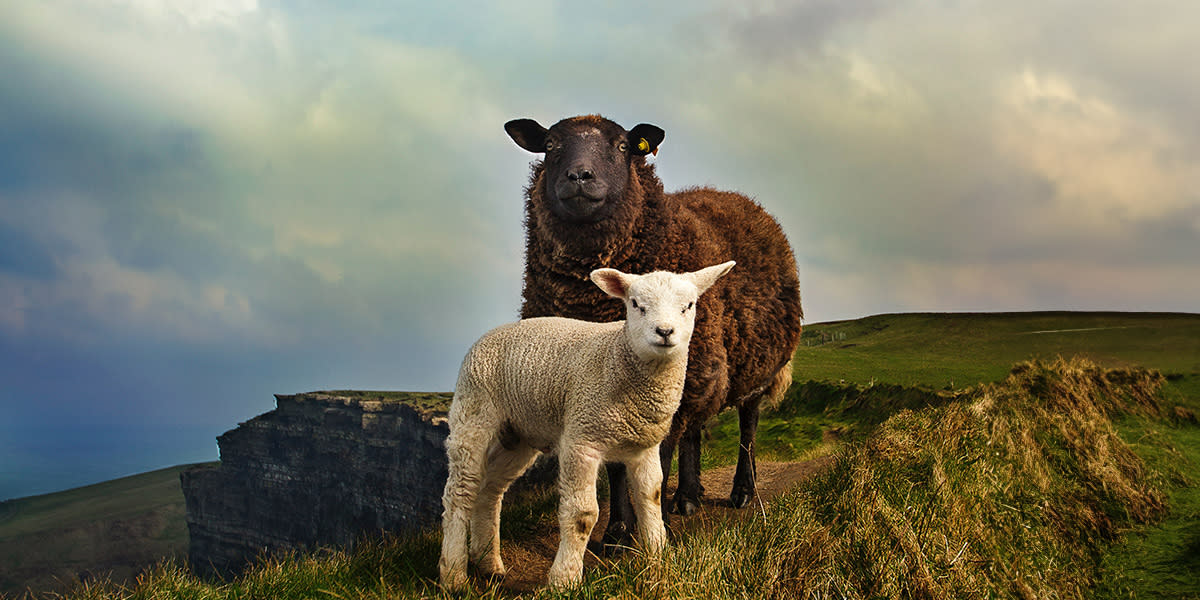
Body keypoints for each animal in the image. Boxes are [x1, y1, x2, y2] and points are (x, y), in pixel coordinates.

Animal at [439, 260, 729, 588]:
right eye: (635, 304)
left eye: (688, 305)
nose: (665, 331)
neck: (618, 358)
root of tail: (491, 333)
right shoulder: (582, 439)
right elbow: (583, 514)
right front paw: (564, 579)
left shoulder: (644, 446)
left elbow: (651, 497)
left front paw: (658, 558)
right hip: (473, 411)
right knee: (460, 492)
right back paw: (454, 575)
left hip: (518, 434)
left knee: (489, 490)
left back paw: (489, 562)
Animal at [506, 113, 806, 549]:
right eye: (549, 145)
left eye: (622, 146)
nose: (579, 176)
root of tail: (739, 197)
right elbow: (619, 466)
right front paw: (617, 531)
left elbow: (657, 460)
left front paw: (651, 526)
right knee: (695, 430)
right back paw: (688, 497)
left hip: (753, 365)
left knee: (747, 426)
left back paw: (741, 491)